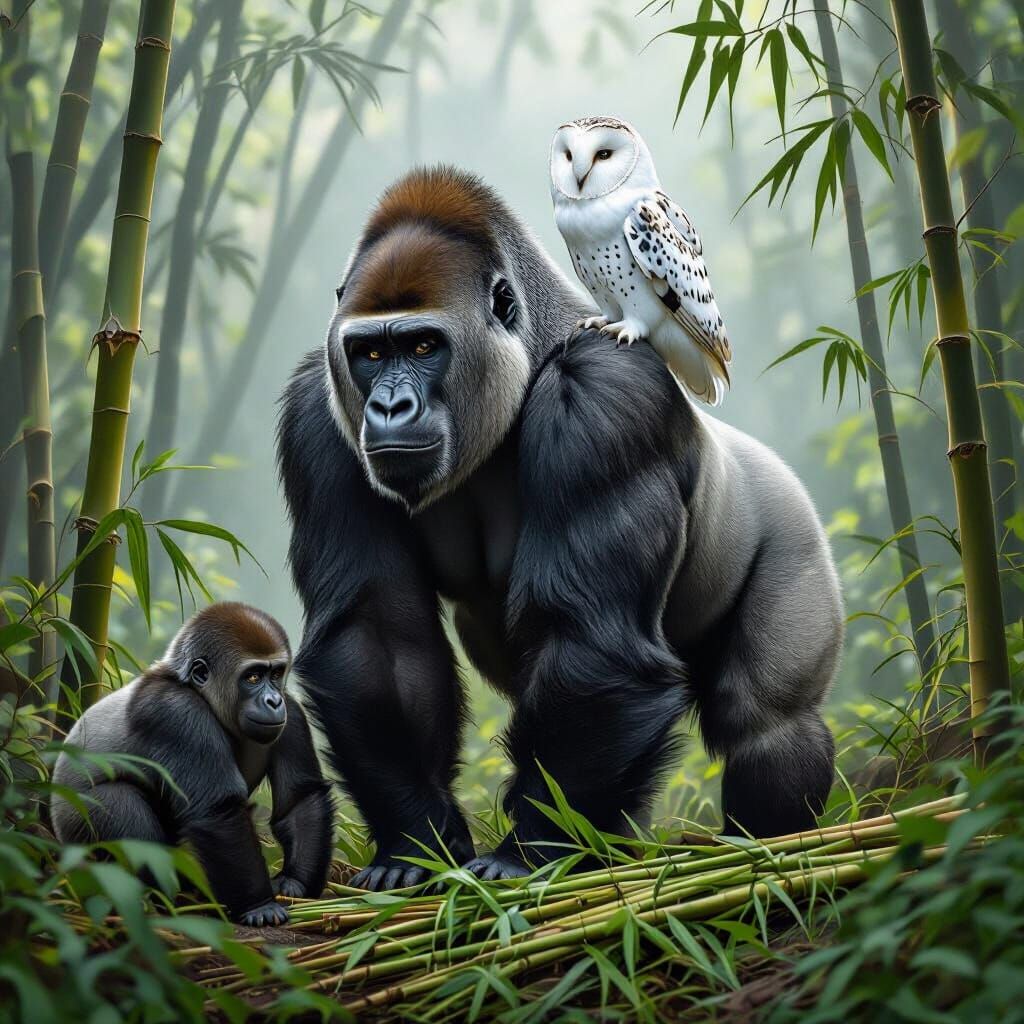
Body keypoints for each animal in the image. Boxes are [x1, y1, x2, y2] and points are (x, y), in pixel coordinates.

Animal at [51, 603, 334, 926]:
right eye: (252, 677)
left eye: (275, 674)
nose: (274, 701)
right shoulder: (177, 713)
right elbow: (218, 811)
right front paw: (258, 905)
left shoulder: (292, 711)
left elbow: (299, 799)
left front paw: (294, 881)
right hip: (72, 824)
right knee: (119, 806)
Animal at [277, 166, 842, 888]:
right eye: (370, 351)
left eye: (424, 345)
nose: (389, 406)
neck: (531, 354)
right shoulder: (316, 412)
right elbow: (377, 638)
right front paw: (414, 843)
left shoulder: (604, 394)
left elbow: (590, 642)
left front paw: (527, 852)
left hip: (793, 528)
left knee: (768, 723)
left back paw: (770, 844)